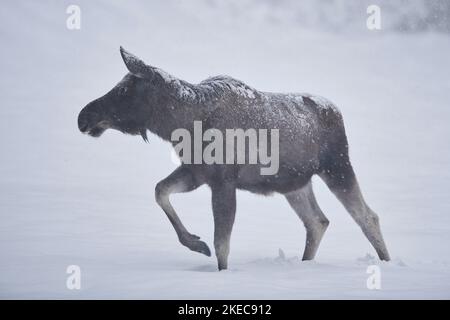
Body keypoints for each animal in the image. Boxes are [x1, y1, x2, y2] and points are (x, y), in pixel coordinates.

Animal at [78, 47, 390, 270]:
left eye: (123, 90)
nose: (83, 117)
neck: (182, 125)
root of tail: (337, 112)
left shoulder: (224, 180)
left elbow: (222, 243)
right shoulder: (196, 173)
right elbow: (160, 191)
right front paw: (195, 243)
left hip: (337, 166)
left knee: (367, 216)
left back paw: (386, 262)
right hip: (295, 184)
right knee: (317, 221)